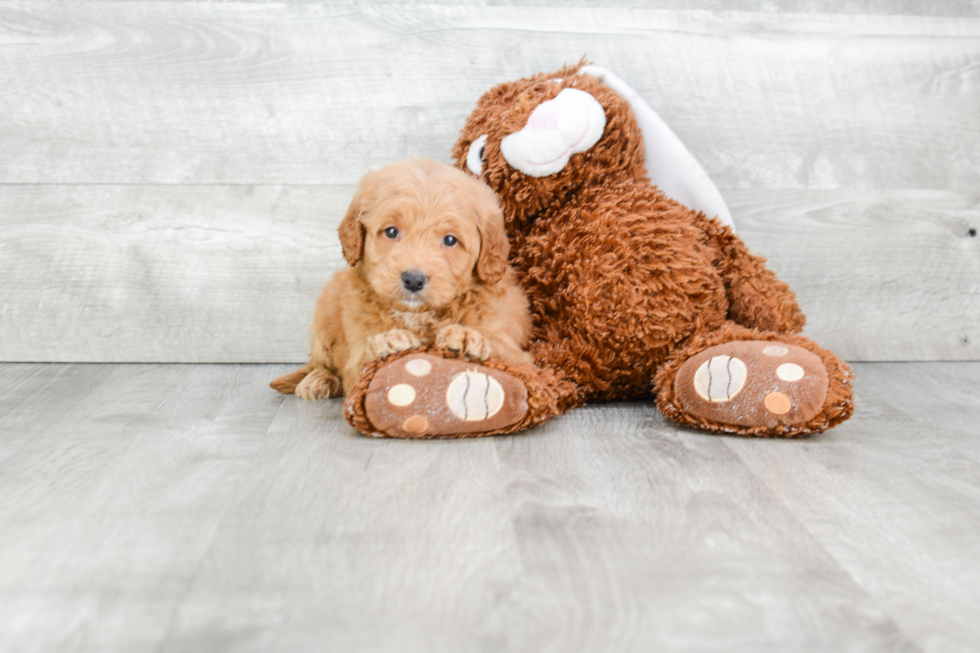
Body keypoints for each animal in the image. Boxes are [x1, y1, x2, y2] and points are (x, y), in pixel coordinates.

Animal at [268, 160, 532, 400]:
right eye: (392, 231)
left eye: (450, 239)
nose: (413, 279)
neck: (419, 316)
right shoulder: (356, 351)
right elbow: (361, 365)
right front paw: (389, 341)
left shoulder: (518, 353)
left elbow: (507, 355)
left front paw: (467, 338)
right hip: (324, 311)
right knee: (320, 362)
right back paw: (318, 379)